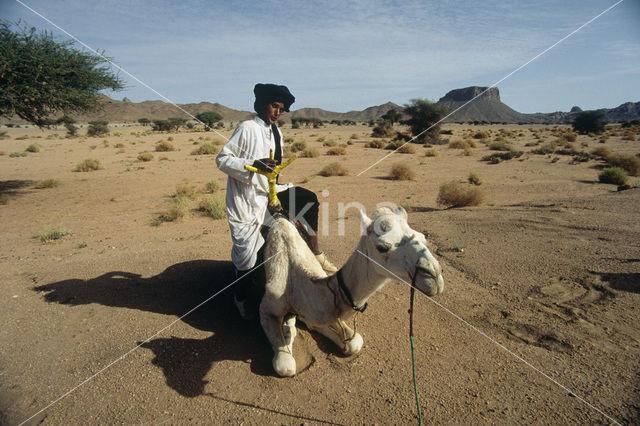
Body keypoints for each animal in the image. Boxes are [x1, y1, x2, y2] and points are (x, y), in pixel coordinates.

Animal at [260, 206, 444, 376]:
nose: (434, 275)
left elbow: (355, 341)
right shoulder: (267, 309)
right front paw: (288, 331)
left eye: (423, 237)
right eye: (382, 247)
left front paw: (342, 343)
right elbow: (286, 366)